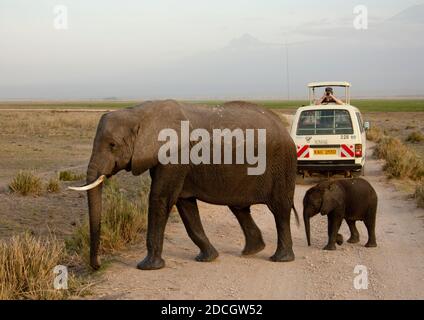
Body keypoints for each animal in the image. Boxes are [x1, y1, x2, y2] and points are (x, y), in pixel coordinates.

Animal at [69, 100, 296, 270]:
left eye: (112, 145)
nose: (98, 265)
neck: (138, 113)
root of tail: (283, 126)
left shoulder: (175, 155)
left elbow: (160, 198)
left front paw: (147, 267)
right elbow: (185, 204)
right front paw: (208, 258)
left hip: (282, 164)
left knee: (280, 209)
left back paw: (280, 259)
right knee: (240, 208)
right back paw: (251, 251)